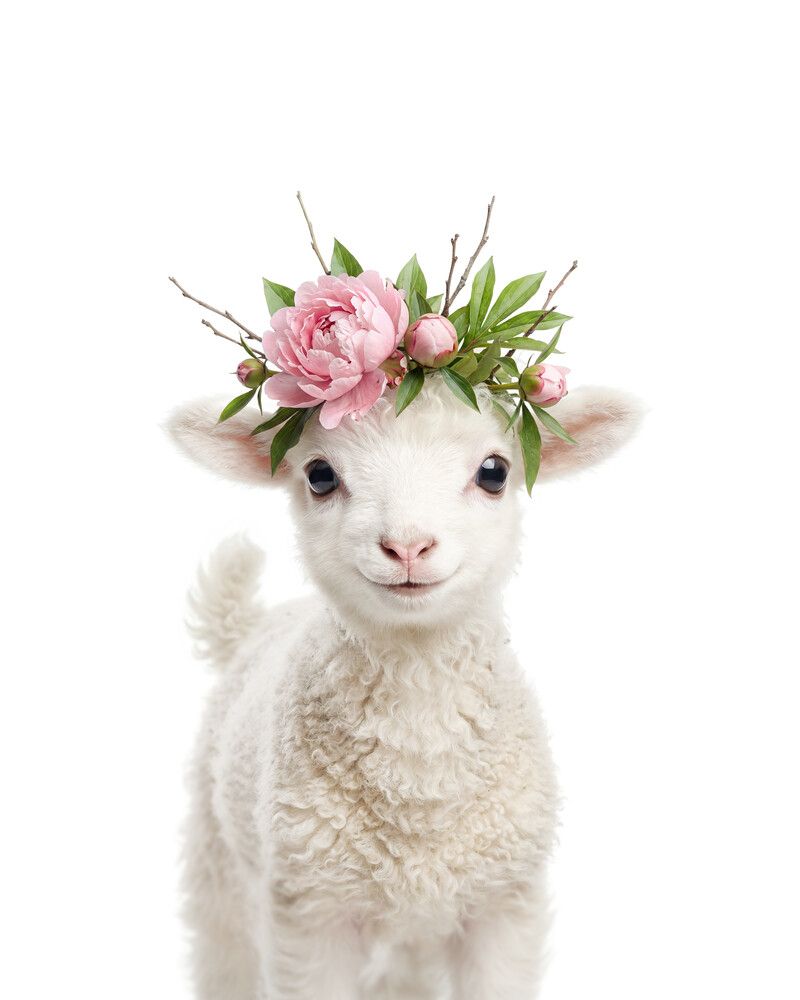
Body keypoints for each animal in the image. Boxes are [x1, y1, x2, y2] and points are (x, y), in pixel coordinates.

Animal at [168, 377, 641, 1000]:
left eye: (494, 472)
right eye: (320, 475)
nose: (408, 547)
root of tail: (250, 625)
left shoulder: (503, 905)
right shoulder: (310, 912)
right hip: (218, 856)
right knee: (224, 954)